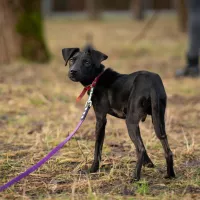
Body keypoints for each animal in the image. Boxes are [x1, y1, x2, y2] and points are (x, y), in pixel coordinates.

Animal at [61, 47, 175, 181]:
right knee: (167, 149)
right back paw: (170, 175)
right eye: (72, 60)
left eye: (87, 62)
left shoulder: (101, 118)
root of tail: (151, 84)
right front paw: (149, 164)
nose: (72, 72)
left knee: (140, 149)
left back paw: (135, 177)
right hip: (158, 119)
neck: (97, 78)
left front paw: (93, 169)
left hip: (130, 121)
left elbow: (98, 147)